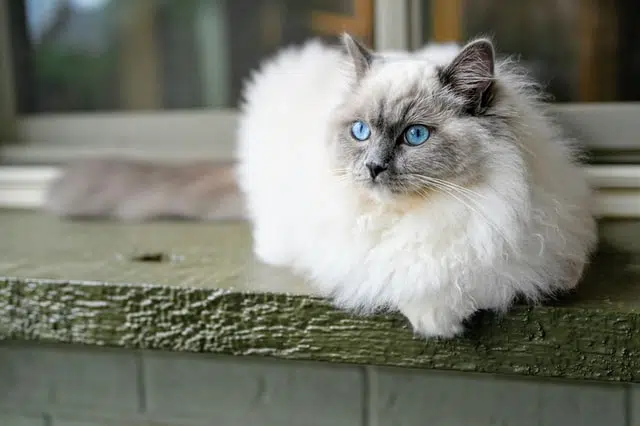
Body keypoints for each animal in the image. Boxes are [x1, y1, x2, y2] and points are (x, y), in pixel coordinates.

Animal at [47, 34, 596, 340]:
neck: (425, 213)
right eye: (361, 131)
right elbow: (407, 276)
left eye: (415, 136)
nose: (373, 167)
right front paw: (435, 321)